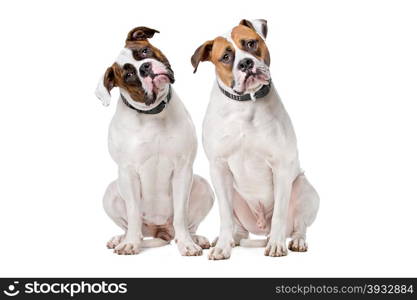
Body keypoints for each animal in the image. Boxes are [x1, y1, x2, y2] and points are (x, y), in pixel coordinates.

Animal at [95, 26, 211, 255]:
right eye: (129, 75)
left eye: (144, 52)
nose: (145, 68)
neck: (153, 114)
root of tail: (159, 230)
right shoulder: (128, 173)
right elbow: (132, 213)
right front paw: (130, 243)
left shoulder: (183, 169)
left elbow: (181, 215)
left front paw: (187, 244)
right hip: (111, 192)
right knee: (132, 226)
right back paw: (122, 238)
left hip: (203, 186)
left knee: (188, 224)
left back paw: (196, 238)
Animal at [192, 19, 318, 260]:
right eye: (225, 57)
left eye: (251, 43)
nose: (245, 63)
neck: (245, 104)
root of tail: (261, 227)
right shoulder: (218, 167)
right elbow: (224, 216)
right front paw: (222, 247)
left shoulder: (281, 167)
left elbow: (279, 213)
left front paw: (277, 245)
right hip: (232, 193)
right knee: (237, 228)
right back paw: (228, 240)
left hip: (303, 188)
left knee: (299, 225)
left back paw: (294, 240)